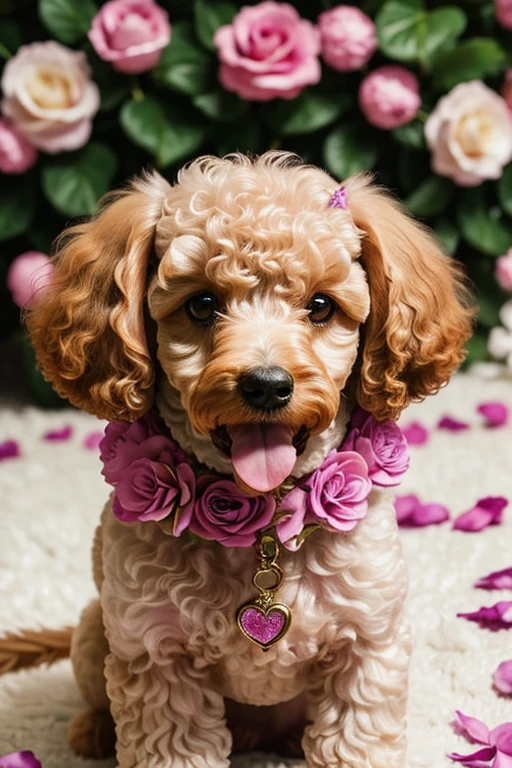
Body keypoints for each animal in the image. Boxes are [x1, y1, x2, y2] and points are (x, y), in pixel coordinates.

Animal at [27, 152, 472, 768]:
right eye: (202, 304)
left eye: (320, 306)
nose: (266, 385)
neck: (263, 527)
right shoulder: (158, 654)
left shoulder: (367, 644)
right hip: (98, 631)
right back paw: (93, 731)